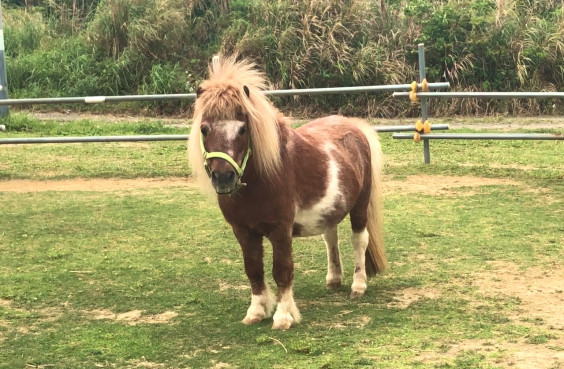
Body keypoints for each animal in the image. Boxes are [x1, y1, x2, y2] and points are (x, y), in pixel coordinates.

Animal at [189, 55, 388, 330]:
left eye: (242, 129)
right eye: (204, 129)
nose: (223, 178)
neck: (261, 180)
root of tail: (355, 126)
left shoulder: (280, 230)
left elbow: (282, 270)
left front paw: (283, 316)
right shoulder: (243, 231)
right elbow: (253, 269)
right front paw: (256, 311)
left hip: (360, 205)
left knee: (359, 240)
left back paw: (358, 286)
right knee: (331, 238)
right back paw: (334, 279)